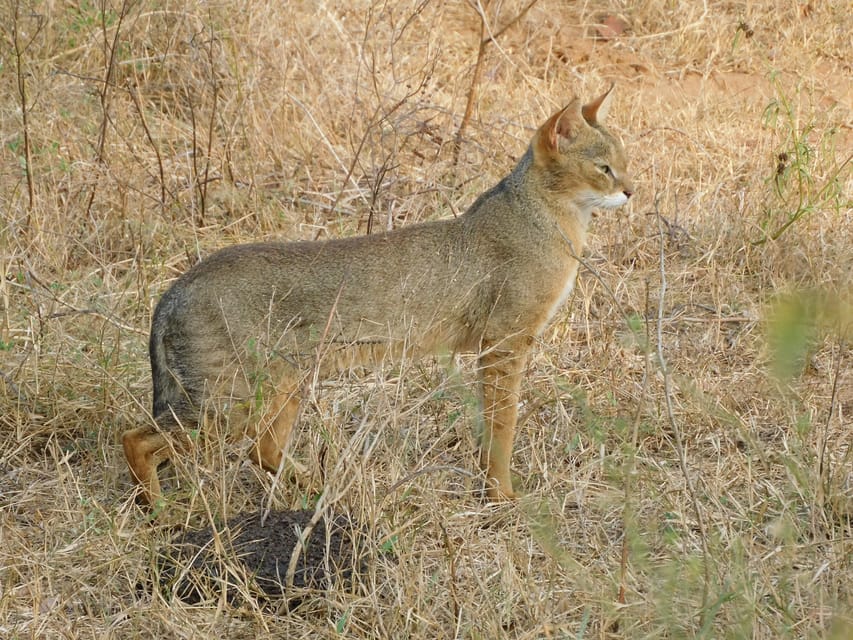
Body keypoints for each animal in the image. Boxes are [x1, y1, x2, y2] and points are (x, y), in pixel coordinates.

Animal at [125, 86, 632, 504]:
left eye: (625, 164)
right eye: (603, 169)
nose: (632, 190)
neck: (546, 220)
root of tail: (175, 288)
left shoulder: (496, 348)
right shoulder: (505, 343)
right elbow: (502, 427)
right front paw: (502, 496)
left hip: (277, 392)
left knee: (262, 449)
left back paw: (318, 487)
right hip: (224, 405)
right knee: (136, 440)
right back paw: (162, 514)